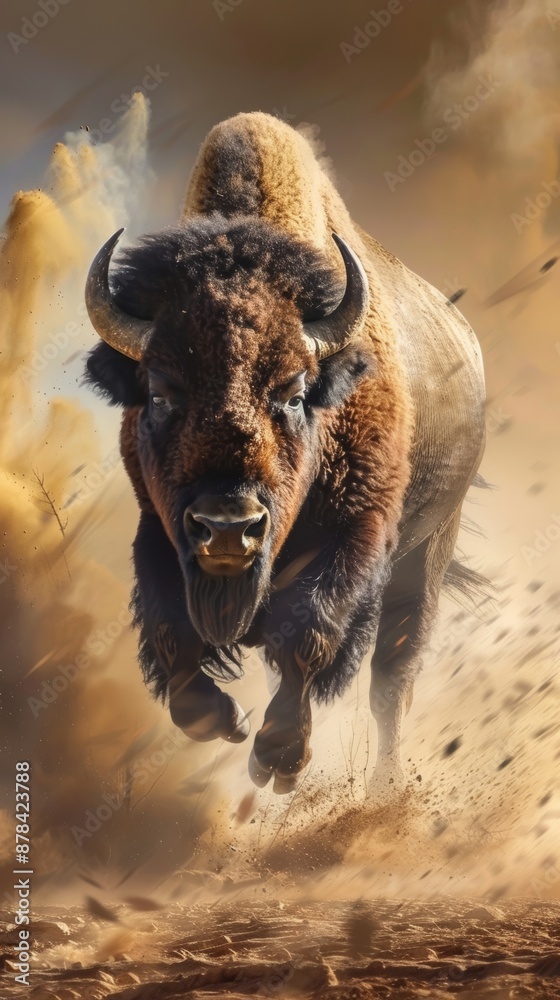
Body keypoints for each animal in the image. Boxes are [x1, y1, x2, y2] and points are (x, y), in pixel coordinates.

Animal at [85, 112, 486, 795]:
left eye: (295, 393)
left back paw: (383, 790)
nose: (228, 527)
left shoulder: (356, 534)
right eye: (159, 394)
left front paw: (279, 757)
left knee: (393, 678)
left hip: (430, 548)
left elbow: (310, 634)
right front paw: (230, 722)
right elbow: (173, 637)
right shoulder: (158, 531)